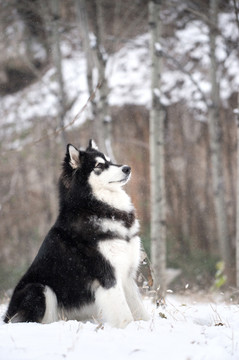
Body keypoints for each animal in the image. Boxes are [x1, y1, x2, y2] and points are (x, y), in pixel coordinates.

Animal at [4, 139, 149, 328]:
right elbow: (124, 314)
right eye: (99, 165)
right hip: (39, 288)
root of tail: (5, 317)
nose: (127, 168)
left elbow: (139, 308)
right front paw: (127, 328)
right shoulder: (107, 276)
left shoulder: (126, 274)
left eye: (109, 161)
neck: (96, 207)